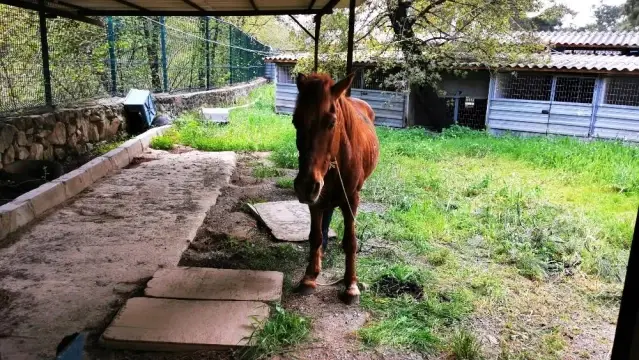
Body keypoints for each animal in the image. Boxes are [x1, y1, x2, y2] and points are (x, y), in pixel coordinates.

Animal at [296, 72, 380, 304]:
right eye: (295, 121)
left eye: (331, 122)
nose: (305, 186)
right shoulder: (315, 200)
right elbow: (315, 236)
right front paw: (310, 276)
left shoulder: (351, 199)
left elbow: (350, 242)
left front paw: (351, 285)